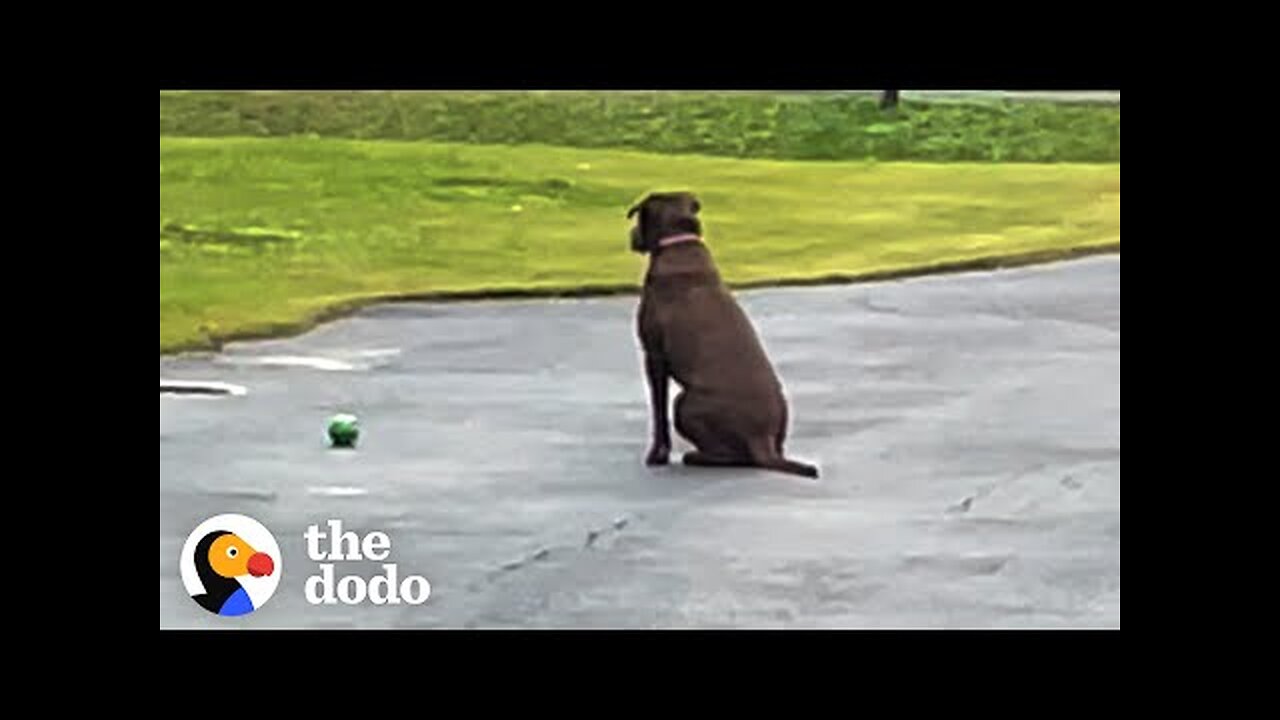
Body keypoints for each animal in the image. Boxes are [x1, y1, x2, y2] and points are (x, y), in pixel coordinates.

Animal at [629, 190, 819, 476]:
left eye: (638, 216)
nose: (631, 235)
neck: (678, 242)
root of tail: (761, 439)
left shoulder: (654, 355)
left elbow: (658, 413)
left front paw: (657, 455)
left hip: (685, 401)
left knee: (733, 457)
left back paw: (696, 456)